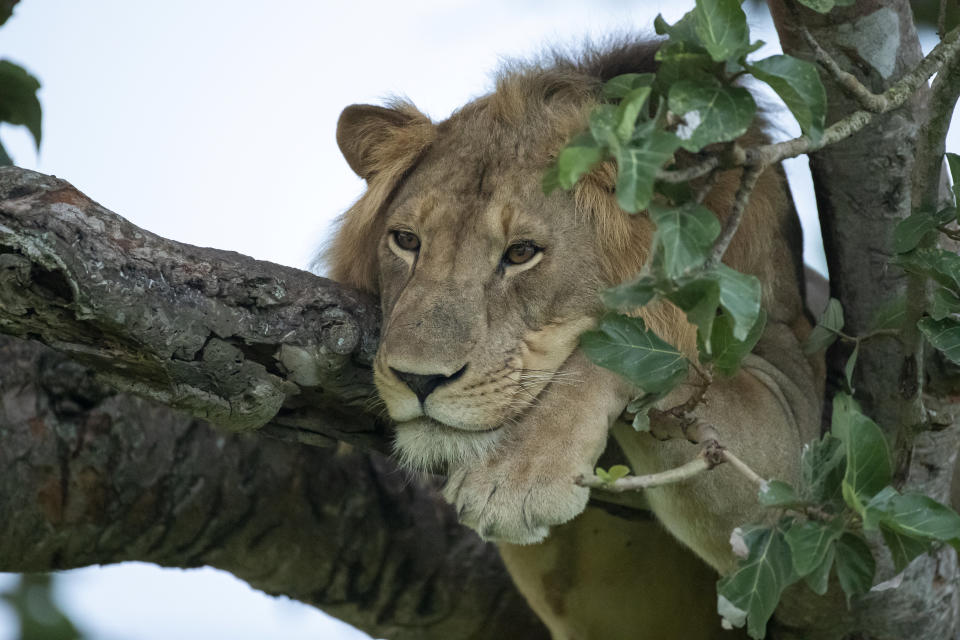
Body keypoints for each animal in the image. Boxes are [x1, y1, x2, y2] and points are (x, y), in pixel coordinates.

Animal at [326, 41, 820, 640]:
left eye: (521, 253)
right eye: (405, 241)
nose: (419, 379)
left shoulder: (796, 439)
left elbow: (620, 343)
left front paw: (514, 474)